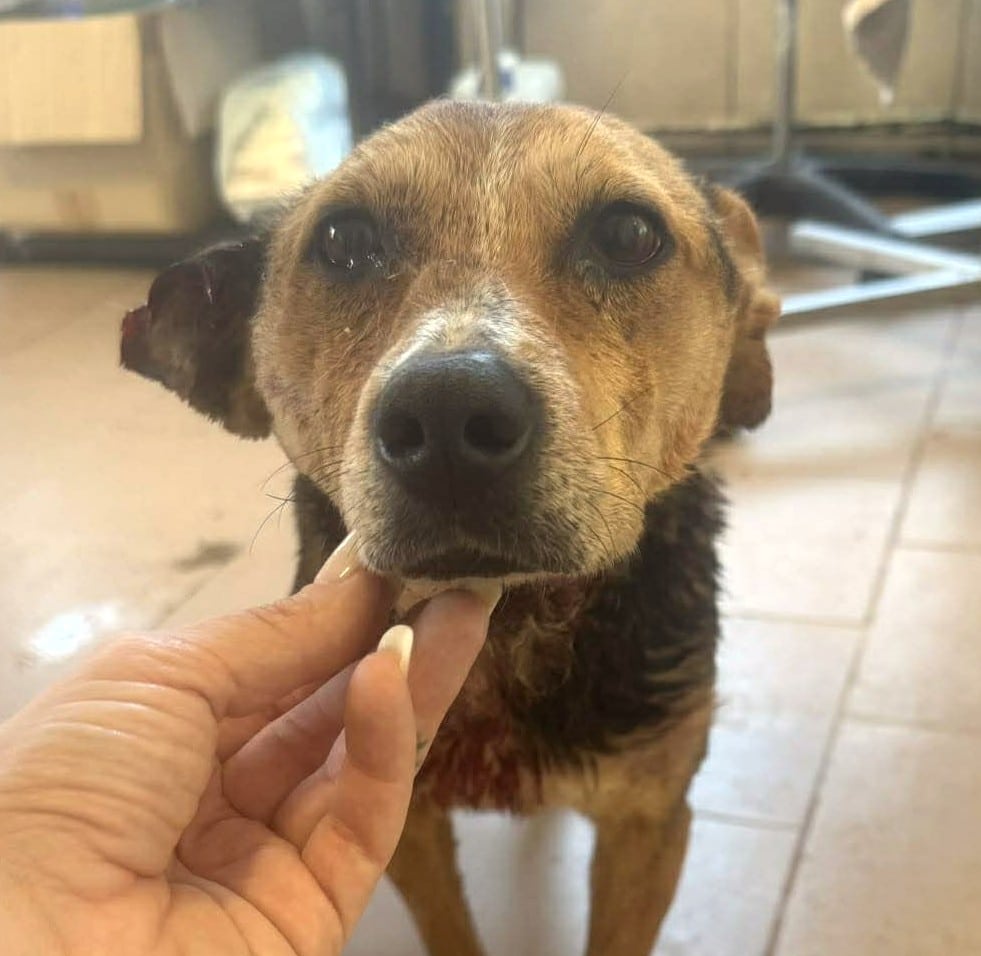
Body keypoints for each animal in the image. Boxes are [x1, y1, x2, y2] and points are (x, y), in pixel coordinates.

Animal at [121, 100, 778, 956]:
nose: (446, 414)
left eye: (628, 234)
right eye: (342, 241)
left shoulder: (650, 818)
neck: (509, 631)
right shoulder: (405, 825)